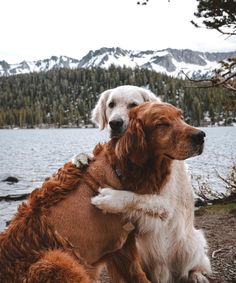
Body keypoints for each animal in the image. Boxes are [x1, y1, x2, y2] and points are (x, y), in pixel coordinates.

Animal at [71, 86, 210, 283]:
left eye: (133, 105)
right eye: (111, 104)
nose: (115, 123)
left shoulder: (168, 204)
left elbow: (140, 198)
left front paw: (110, 198)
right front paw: (81, 157)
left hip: (192, 243)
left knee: (197, 264)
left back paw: (197, 275)